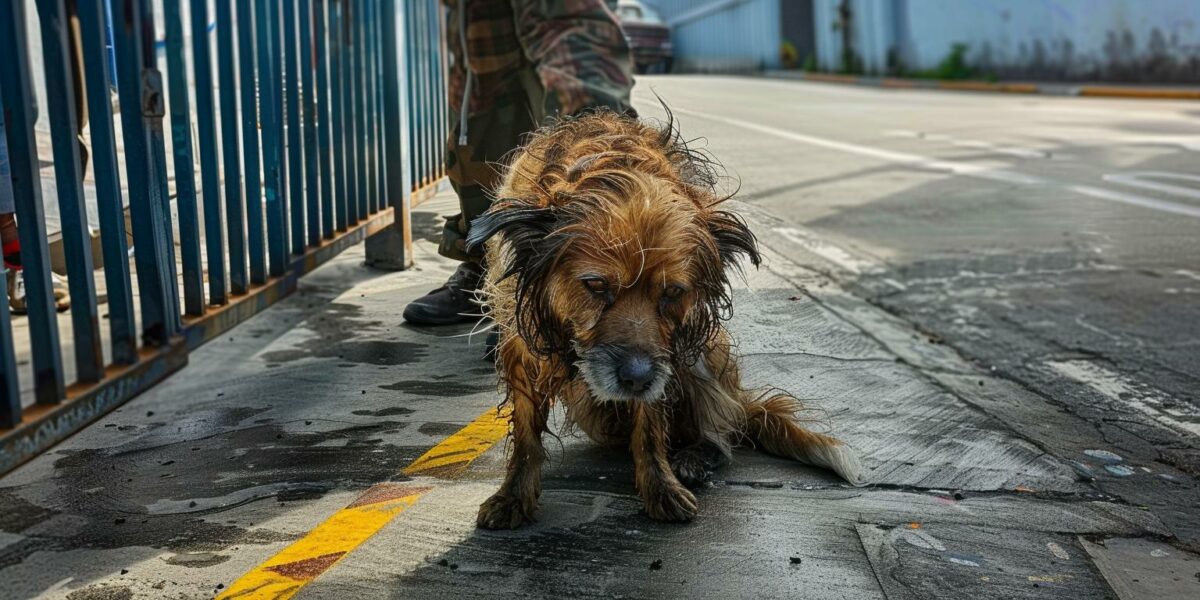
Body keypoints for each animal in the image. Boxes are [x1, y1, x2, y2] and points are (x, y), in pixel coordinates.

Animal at [465, 109, 864, 530]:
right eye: (596, 285)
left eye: (672, 292)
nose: (637, 379)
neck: (612, 167)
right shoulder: (520, 339)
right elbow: (527, 432)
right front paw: (513, 496)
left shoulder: (664, 353)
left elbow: (650, 428)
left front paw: (660, 488)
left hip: (706, 351)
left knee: (724, 431)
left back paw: (696, 455)